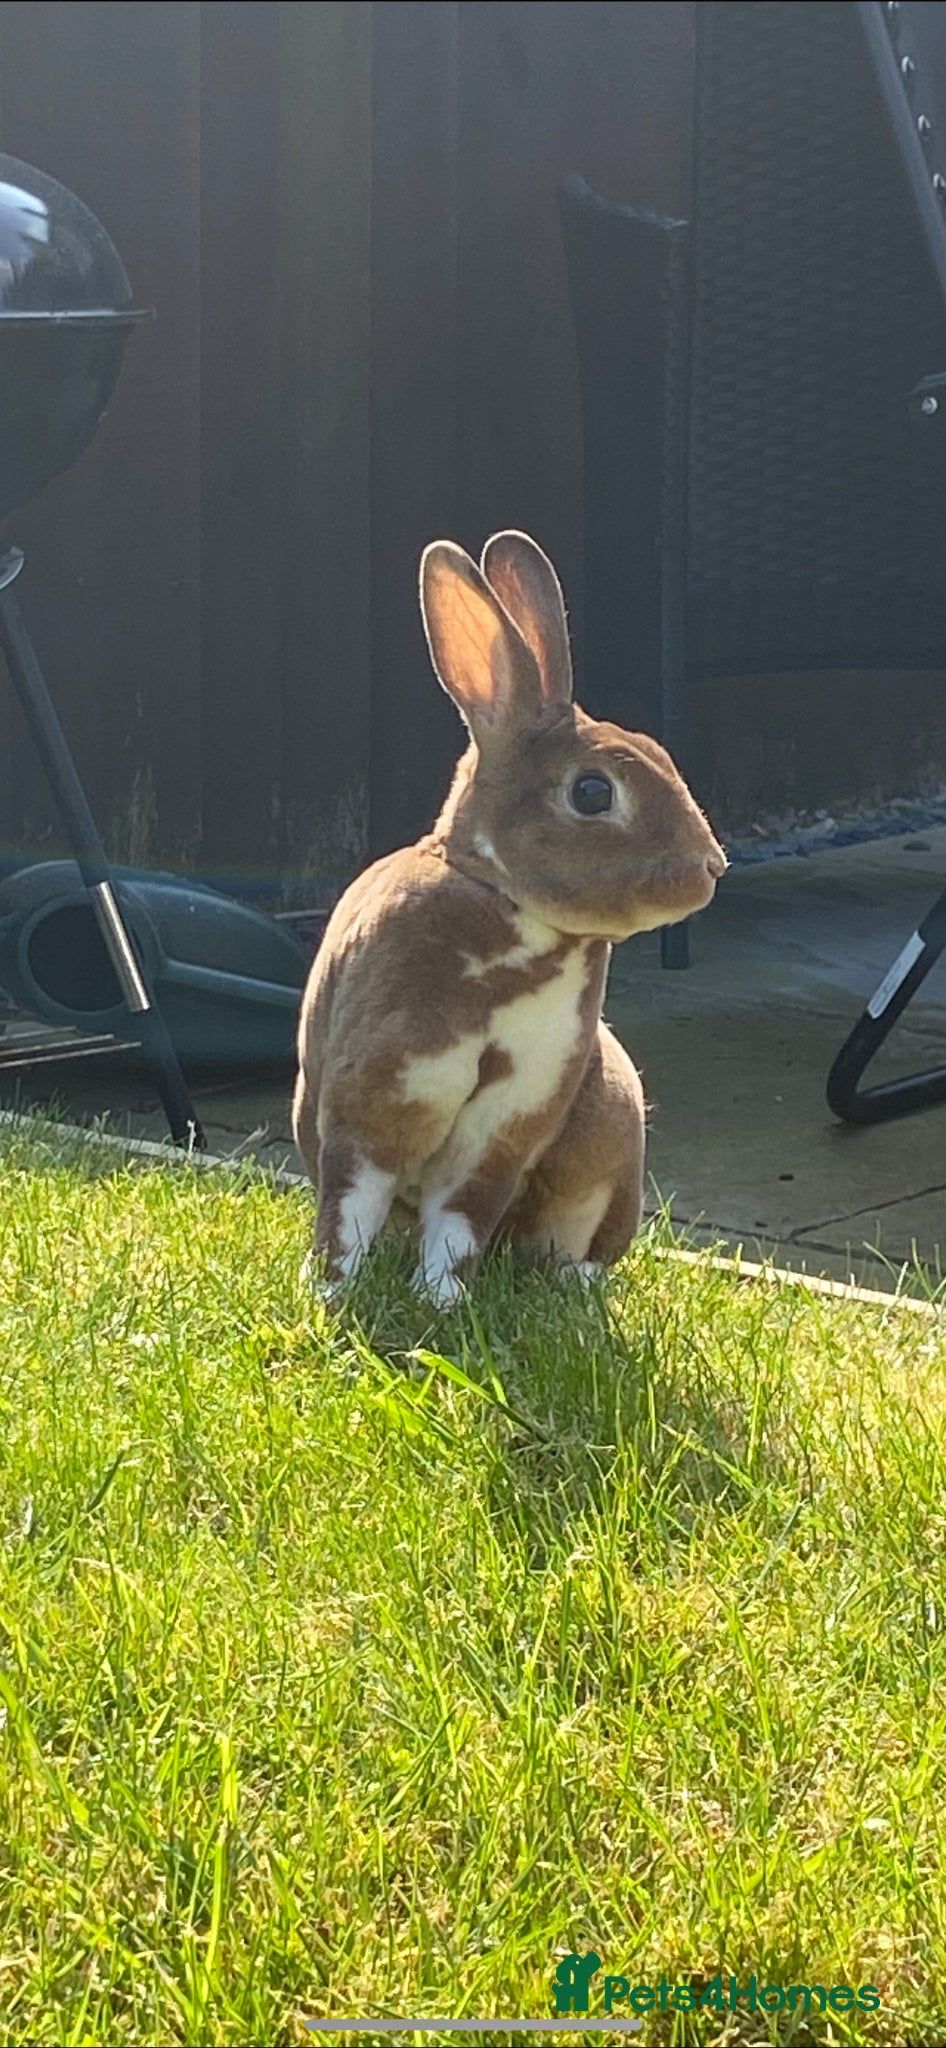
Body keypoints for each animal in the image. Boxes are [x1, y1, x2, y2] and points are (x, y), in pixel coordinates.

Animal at [293, 529, 726, 1307]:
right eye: (593, 792)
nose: (711, 867)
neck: (508, 905)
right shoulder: (374, 1096)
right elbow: (351, 1203)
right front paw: (333, 1291)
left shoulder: (508, 1123)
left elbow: (461, 1216)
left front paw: (440, 1300)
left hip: (610, 1134)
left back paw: (572, 1288)